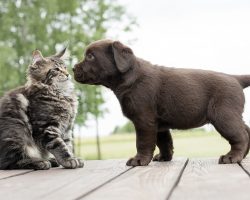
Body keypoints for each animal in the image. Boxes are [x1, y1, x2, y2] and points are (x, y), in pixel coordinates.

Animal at [73, 39, 250, 166]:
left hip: (223, 116)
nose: (73, 68)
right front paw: (164, 157)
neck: (129, 77)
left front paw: (139, 160)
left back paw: (232, 157)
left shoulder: (144, 119)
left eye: (90, 56)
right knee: (246, 130)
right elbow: (164, 142)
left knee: (240, 135)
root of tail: (235, 78)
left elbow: (143, 142)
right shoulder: (158, 124)